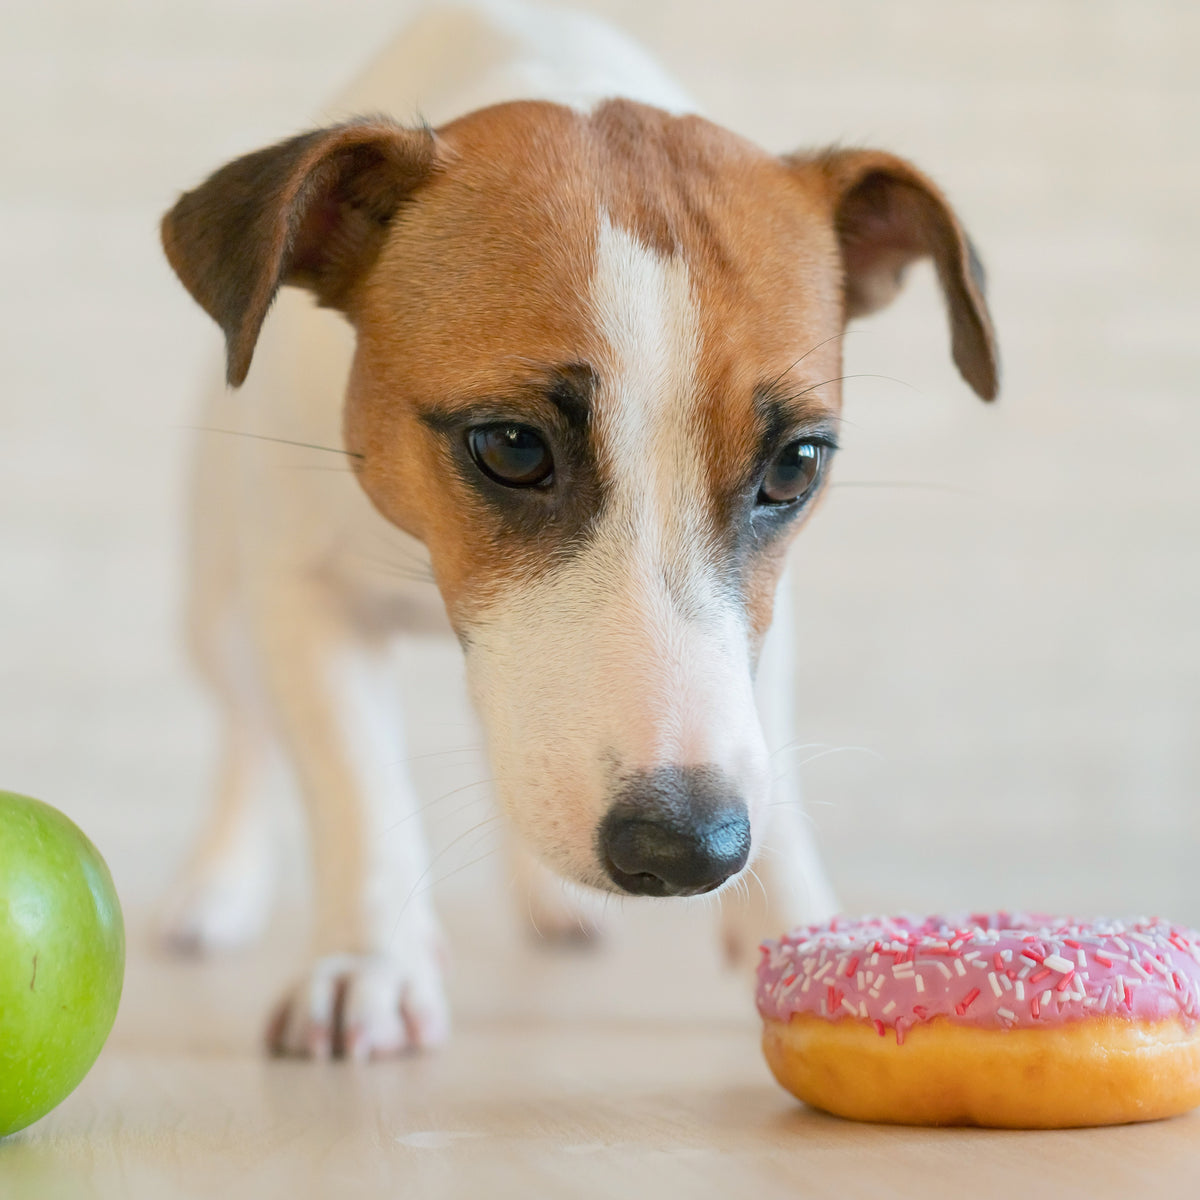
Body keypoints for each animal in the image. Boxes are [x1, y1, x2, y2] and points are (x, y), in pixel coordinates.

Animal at [162, 0, 1003, 1056]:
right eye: (512, 447)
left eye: (795, 465)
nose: (689, 850)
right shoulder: (303, 597)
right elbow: (354, 785)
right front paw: (369, 960)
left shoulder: (764, 619)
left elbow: (764, 749)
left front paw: (800, 926)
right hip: (217, 611)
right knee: (245, 735)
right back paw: (218, 883)